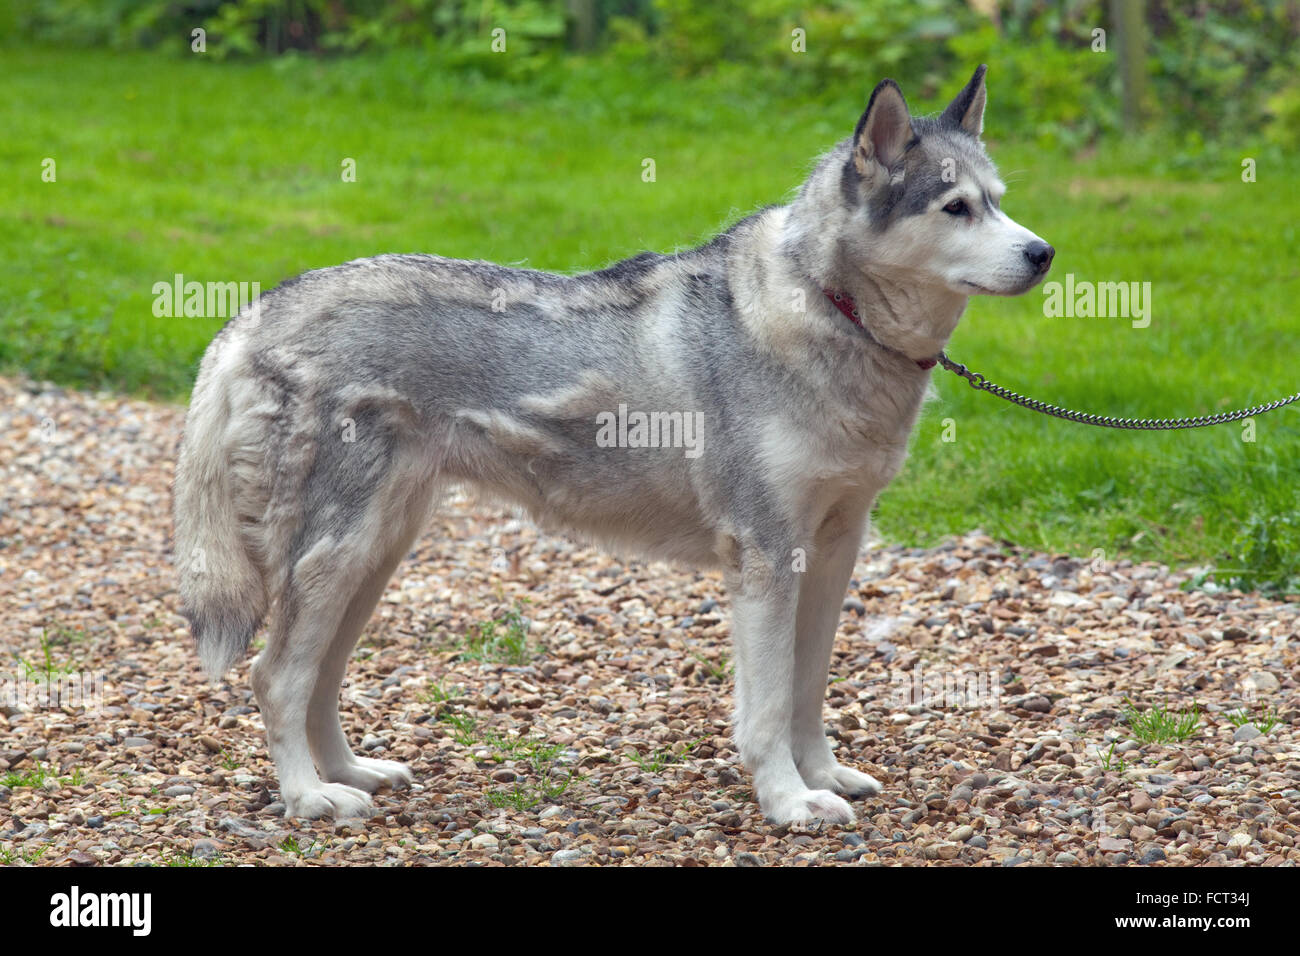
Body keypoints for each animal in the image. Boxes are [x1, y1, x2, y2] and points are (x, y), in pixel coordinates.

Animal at [172, 65, 1050, 822]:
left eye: (1001, 202)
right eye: (956, 208)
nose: (1043, 253)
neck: (827, 306)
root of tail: (254, 313)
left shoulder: (834, 550)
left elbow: (807, 692)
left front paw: (823, 777)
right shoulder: (765, 557)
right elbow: (767, 708)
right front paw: (788, 803)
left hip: (372, 557)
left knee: (319, 678)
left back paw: (351, 773)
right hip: (339, 558)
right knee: (276, 677)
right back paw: (308, 797)